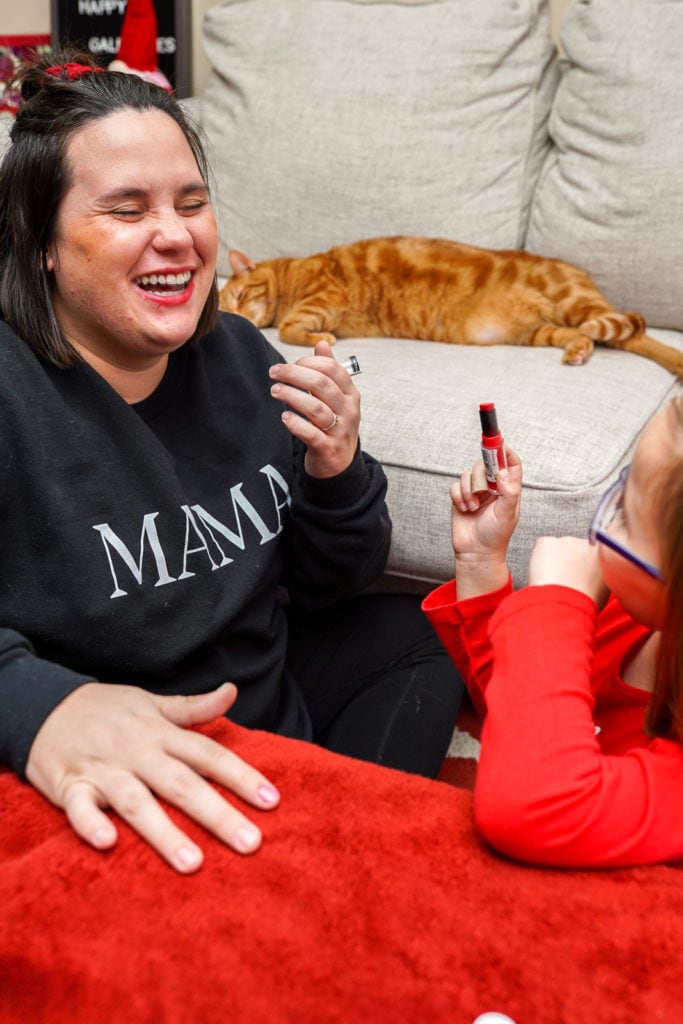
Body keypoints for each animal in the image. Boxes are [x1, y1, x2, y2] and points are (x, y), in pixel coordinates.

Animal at [220, 238, 683, 376]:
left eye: (239, 298)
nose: (240, 319)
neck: (291, 276)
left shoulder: (325, 295)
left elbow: (291, 327)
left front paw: (322, 336)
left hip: (573, 302)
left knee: (635, 332)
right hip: (540, 330)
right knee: (596, 335)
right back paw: (580, 351)